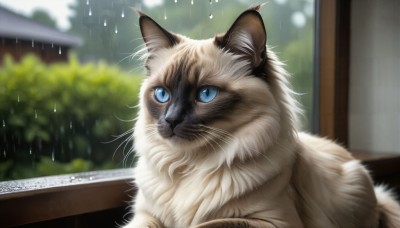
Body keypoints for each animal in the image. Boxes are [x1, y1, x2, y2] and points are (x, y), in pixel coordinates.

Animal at [122, 5, 400, 228]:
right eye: (162, 94)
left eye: (206, 94)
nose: (171, 120)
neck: (190, 166)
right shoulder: (145, 217)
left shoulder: (270, 221)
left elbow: (208, 224)